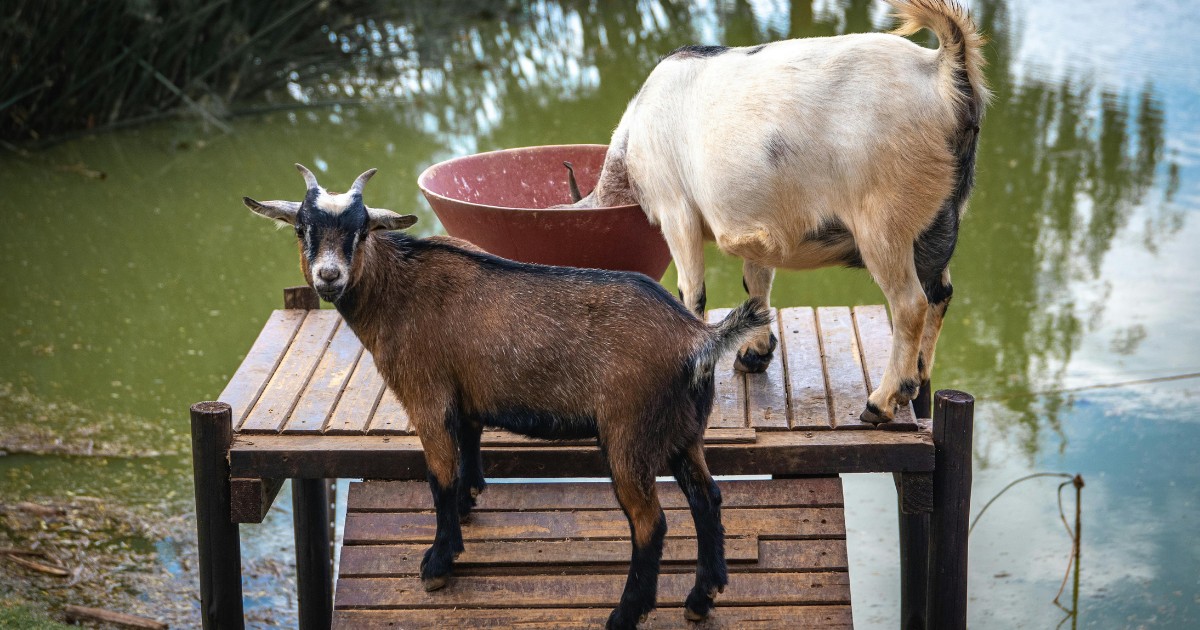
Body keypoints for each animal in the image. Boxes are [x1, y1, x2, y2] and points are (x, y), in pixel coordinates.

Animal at [243, 165, 771, 629]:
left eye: (361, 230)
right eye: (302, 229)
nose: (328, 276)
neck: (399, 290)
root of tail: (697, 339)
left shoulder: (426, 397)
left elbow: (439, 477)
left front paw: (439, 563)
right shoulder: (465, 396)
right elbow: (467, 451)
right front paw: (468, 504)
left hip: (630, 438)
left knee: (651, 524)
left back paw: (625, 615)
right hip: (684, 432)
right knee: (708, 498)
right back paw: (701, 598)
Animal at [560, 0, 989, 423]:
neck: (634, 134)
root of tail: (942, 69)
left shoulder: (675, 210)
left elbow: (691, 292)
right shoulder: (758, 222)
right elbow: (755, 280)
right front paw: (755, 353)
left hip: (883, 222)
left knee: (909, 304)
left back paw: (881, 402)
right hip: (938, 219)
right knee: (939, 293)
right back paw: (917, 386)